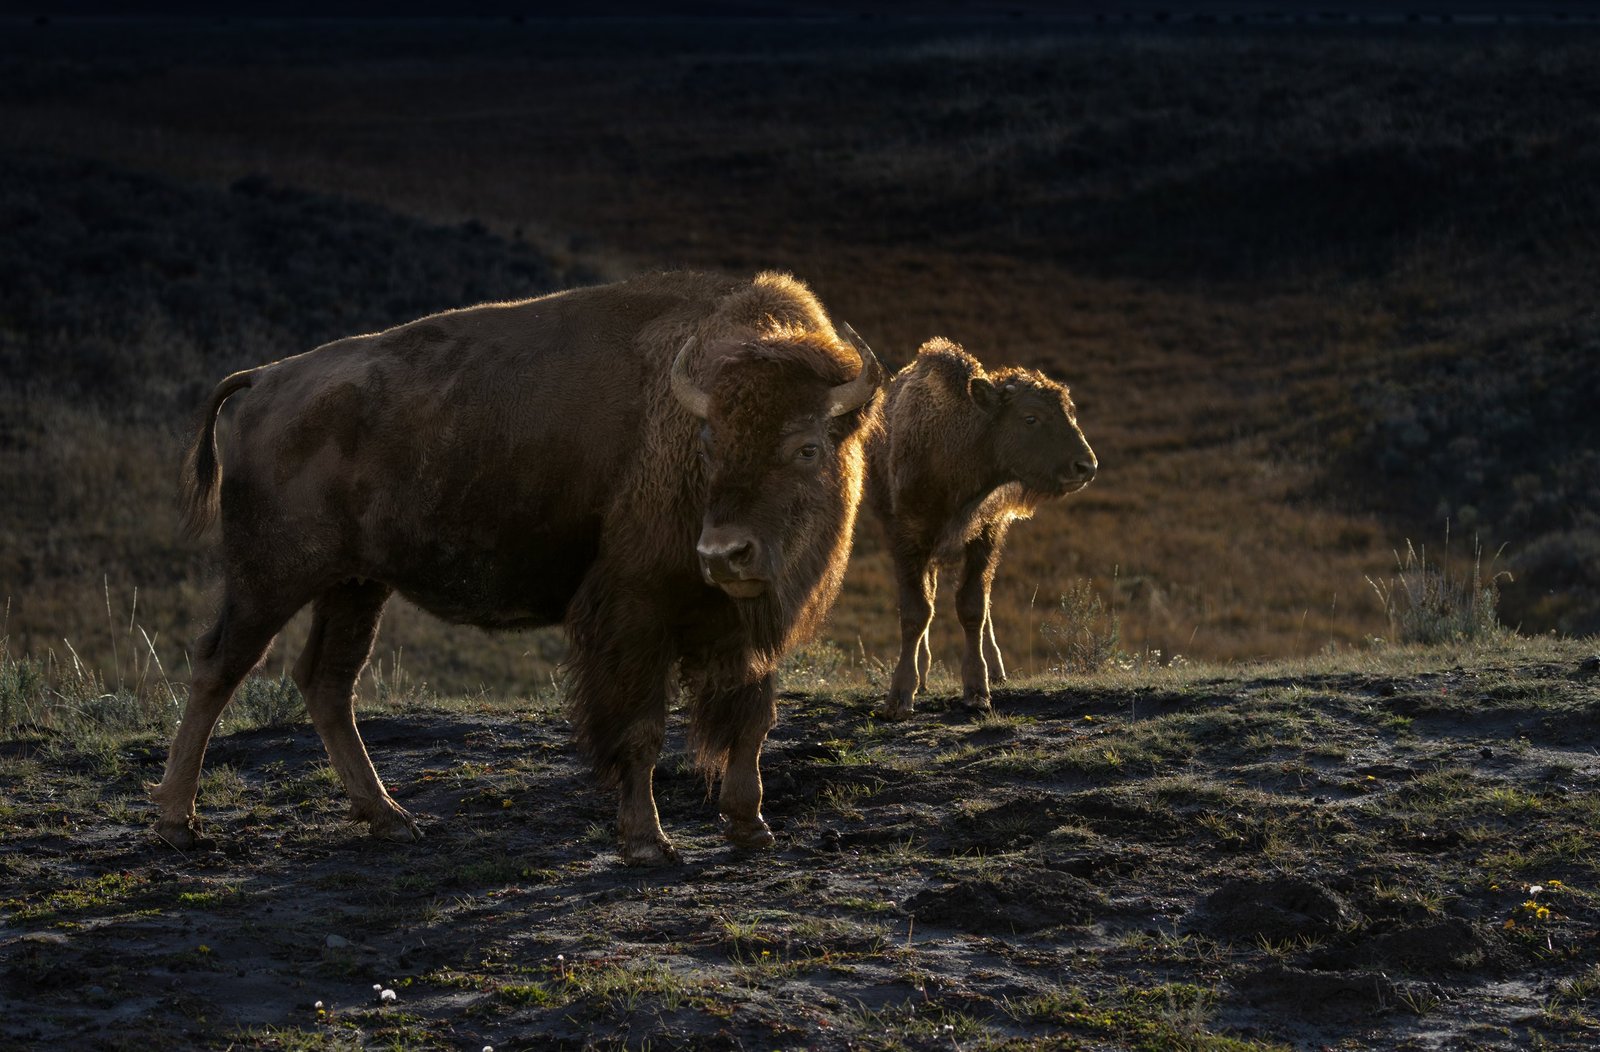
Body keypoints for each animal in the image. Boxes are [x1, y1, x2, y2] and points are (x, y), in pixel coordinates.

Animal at [151, 270, 883, 866]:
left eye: (809, 448)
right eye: (708, 445)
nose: (724, 553)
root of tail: (265, 379)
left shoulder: (749, 624)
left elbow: (754, 717)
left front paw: (751, 826)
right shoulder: (634, 612)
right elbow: (641, 729)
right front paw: (648, 842)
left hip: (355, 585)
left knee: (327, 680)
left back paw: (391, 818)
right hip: (268, 580)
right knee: (219, 668)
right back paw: (179, 825)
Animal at [865, 337, 1096, 721]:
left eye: (1071, 412)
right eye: (1030, 417)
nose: (1086, 466)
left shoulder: (985, 537)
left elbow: (972, 607)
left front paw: (977, 690)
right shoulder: (908, 540)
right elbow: (916, 612)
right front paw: (899, 697)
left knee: (983, 606)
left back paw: (996, 671)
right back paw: (923, 676)